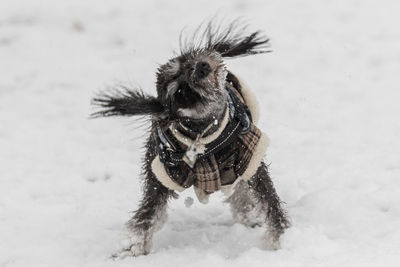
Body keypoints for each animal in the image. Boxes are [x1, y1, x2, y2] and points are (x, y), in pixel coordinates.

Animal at [91, 19, 290, 258]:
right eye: (181, 91)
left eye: (187, 60)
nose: (202, 66)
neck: (203, 140)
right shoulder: (163, 173)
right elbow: (149, 210)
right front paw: (131, 246)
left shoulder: (249, 156)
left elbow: (269, 200)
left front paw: (281, 239)